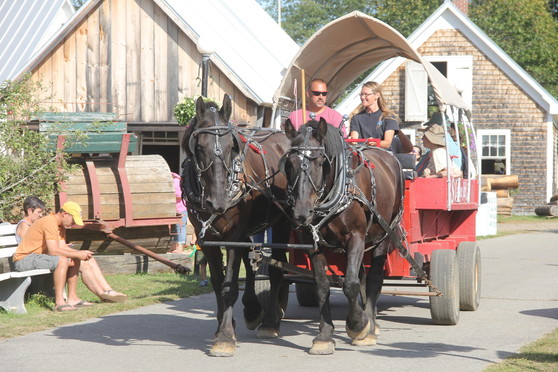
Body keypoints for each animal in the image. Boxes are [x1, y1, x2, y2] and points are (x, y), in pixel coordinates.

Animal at [182, 94, 290, 356]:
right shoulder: (206, 238)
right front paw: (224, 325)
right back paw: (252, 310)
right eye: (199, 147)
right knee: (251, 260)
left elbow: (229, 286)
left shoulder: (233, 234)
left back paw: (270, 321)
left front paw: (224, 337)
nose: (218, 201)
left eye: (232, 146)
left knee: (277, 268)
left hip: (281, 224)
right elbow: (218, 282)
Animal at [286, 118, 404, 354]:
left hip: (383, 235)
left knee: (374, 278)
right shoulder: (312, 243)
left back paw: (370, 326)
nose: (301, 214)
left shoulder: (356, 236)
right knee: (363, 277)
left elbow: (350, 283)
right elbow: (322, 286)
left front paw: (358, 324)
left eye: (320, 161)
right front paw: (324, 336)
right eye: (289, 163)